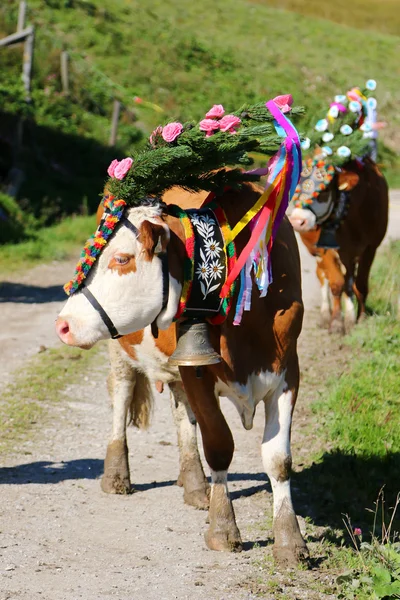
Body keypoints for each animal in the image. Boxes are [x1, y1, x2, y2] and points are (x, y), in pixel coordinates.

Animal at [290, 159, 390, 332]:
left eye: (324, 190)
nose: (297, 221)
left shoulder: (370, 247)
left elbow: (358, 283)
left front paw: (359, 318)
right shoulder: (325, 249)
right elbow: (337, 284)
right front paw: (337, 322)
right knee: (324, 276)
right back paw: (326, 315)